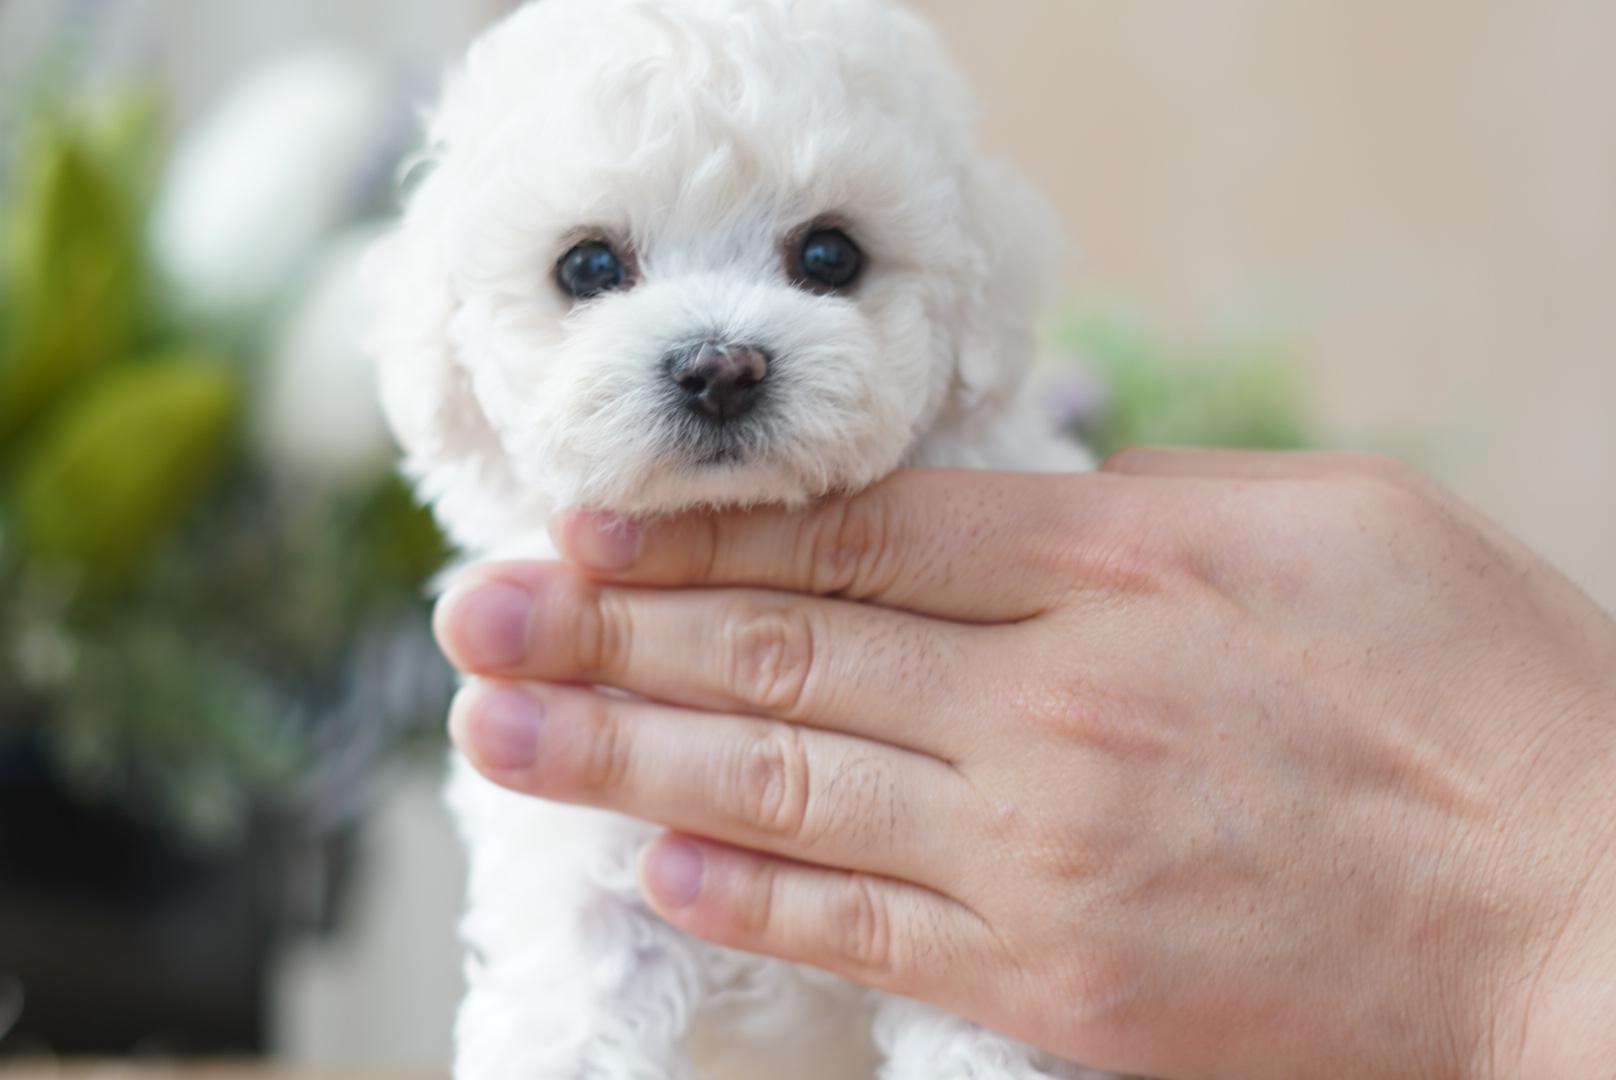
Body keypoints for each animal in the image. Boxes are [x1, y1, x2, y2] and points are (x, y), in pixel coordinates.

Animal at [371, 2, 1118, 1080]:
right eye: (587, 266)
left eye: (830, 256)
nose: (719, 367)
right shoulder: (581, 856)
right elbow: (575, 1011)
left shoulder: (977, 895)